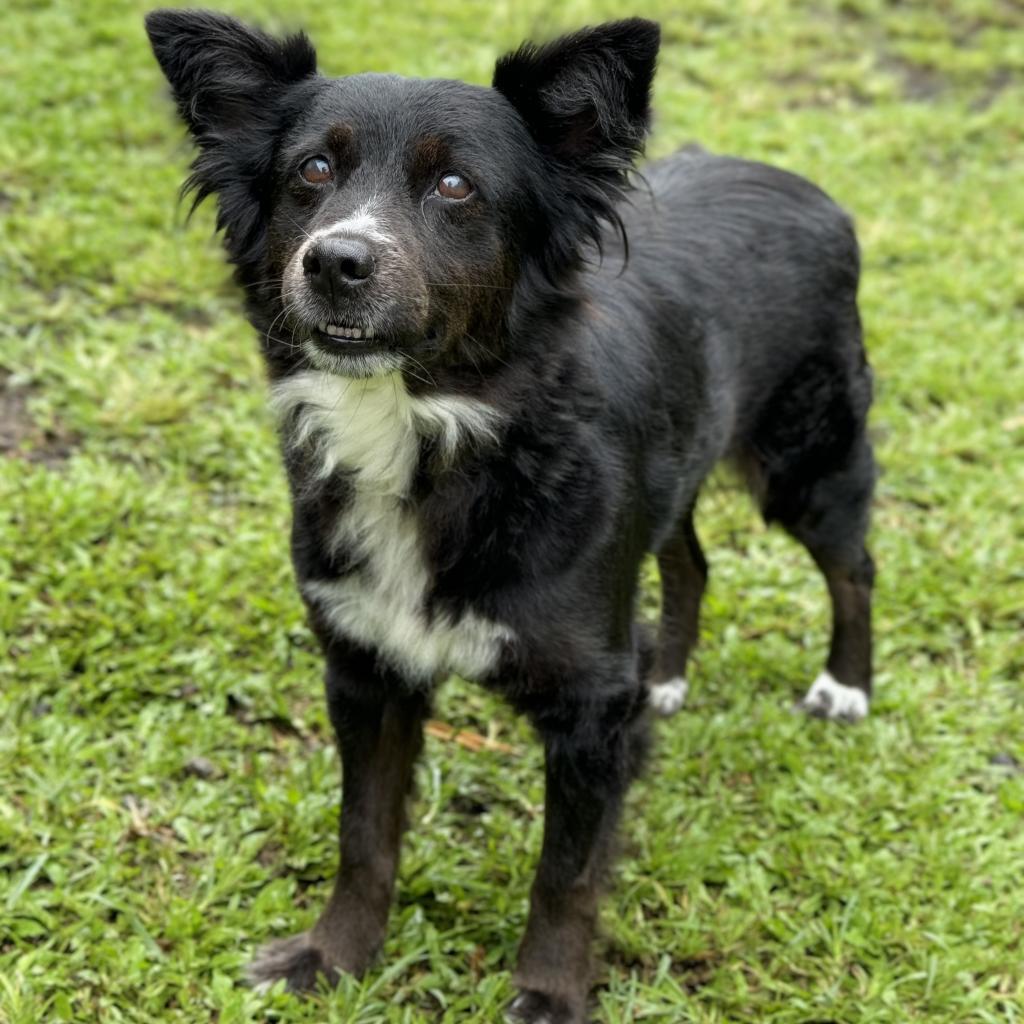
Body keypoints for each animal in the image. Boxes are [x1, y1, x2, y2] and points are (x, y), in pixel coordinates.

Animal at [148, 9, 876, 1024]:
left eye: (456, 185)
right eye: (312, 172)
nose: (334, 260)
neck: (429, 429)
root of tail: (804, 186)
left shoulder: (587, 708)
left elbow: (565, 876)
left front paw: (550, 992)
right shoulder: (365, 670)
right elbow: (363, 838)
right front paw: (332, 958)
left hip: (807, 460)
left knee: (852, 566)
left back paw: (844, 687)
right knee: (690, 559)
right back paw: (668, 676)